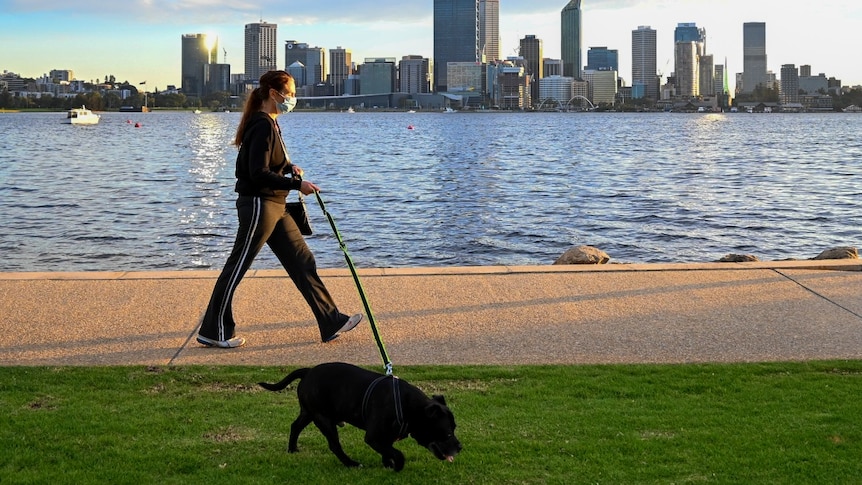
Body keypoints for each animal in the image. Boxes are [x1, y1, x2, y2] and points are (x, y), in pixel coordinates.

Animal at [260, 360, 462, 468]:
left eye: (454, 429)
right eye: (447, 434)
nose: (460, 447)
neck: (408, 407)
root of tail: (308, 371)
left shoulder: (385, 437)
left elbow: (388, 450)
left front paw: (388, 464)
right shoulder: (373, 437)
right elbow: (396, 453)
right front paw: (397, 465)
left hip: (309, 412)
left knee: (295, 426)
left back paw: (292, 449)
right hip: (323, 419)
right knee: (334, 445)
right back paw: (352, 464)